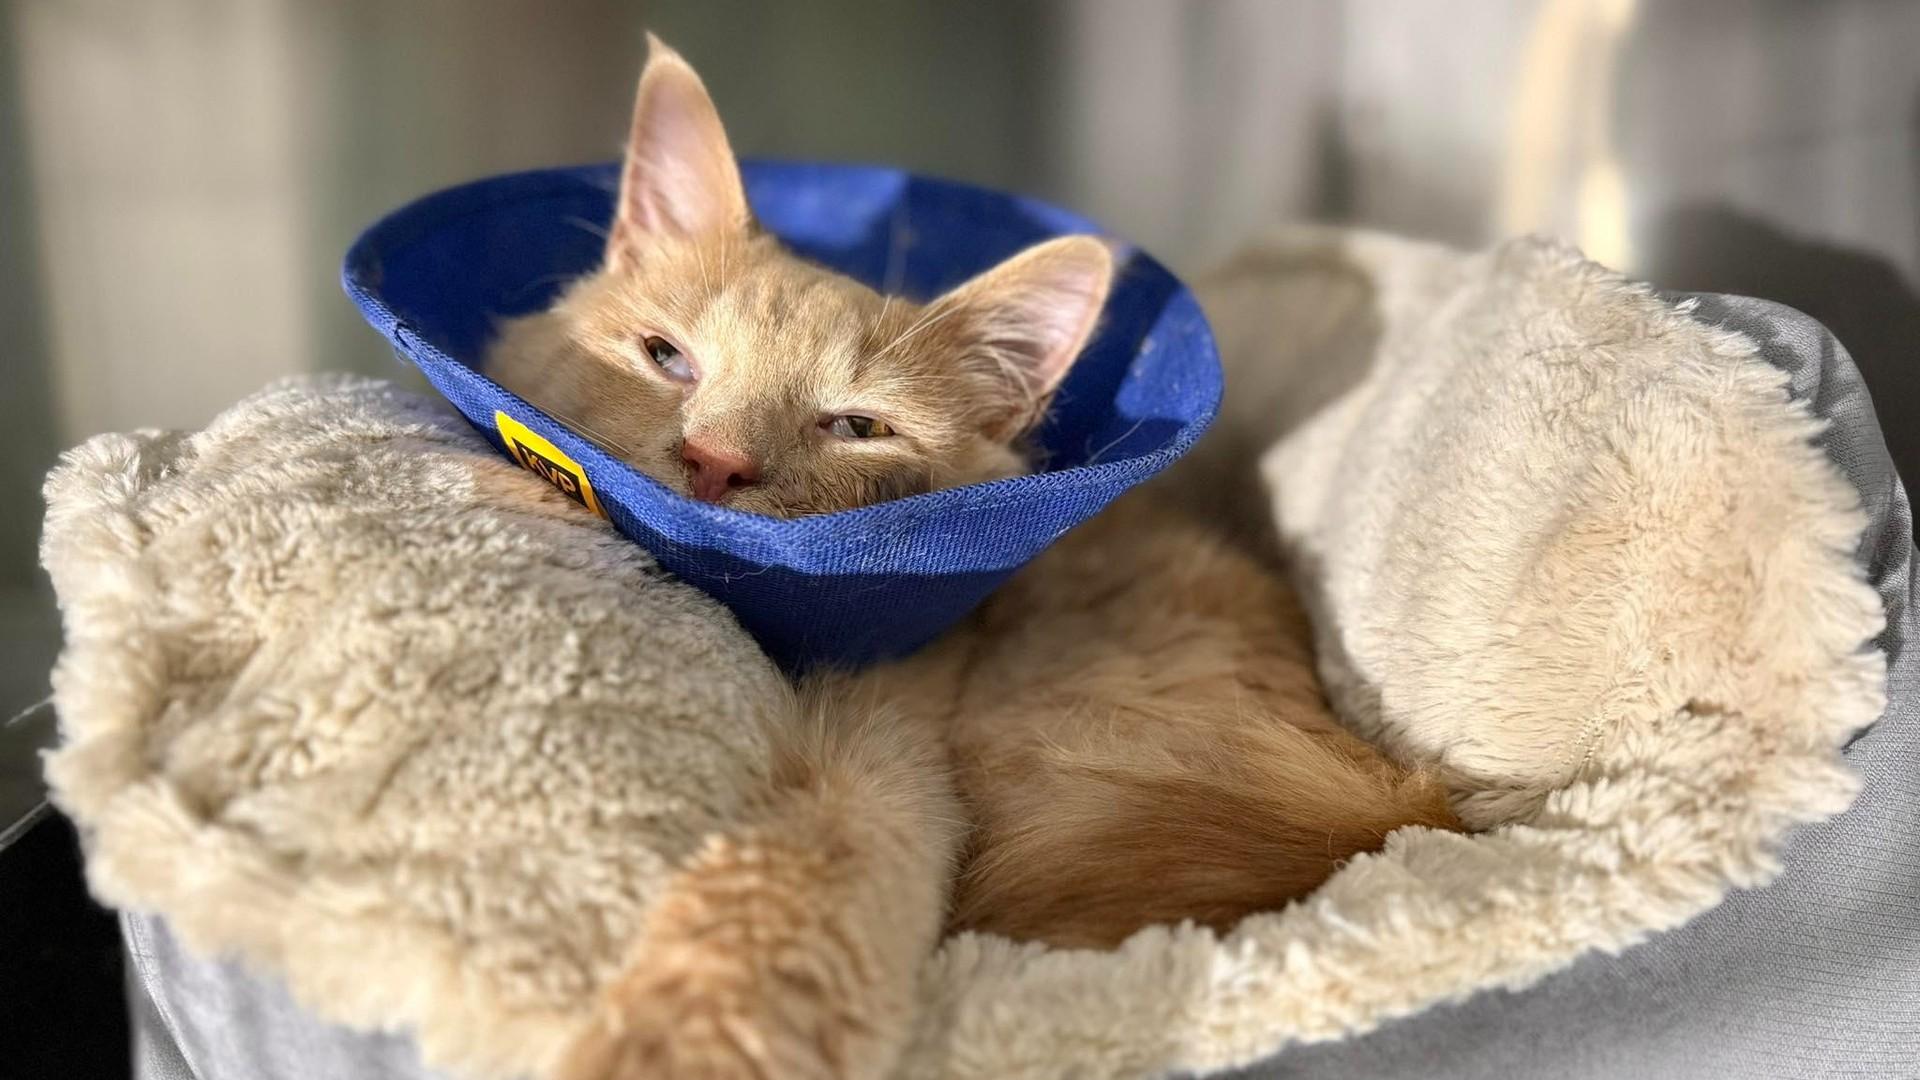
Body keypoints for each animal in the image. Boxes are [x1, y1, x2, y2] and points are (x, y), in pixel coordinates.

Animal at [488, 36, 1459, 1080]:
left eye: (857, 426)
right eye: (667, 359)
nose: (714, 462)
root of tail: (1393, 808)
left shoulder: (882, 779)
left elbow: (764, 923)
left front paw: (666, 1043)